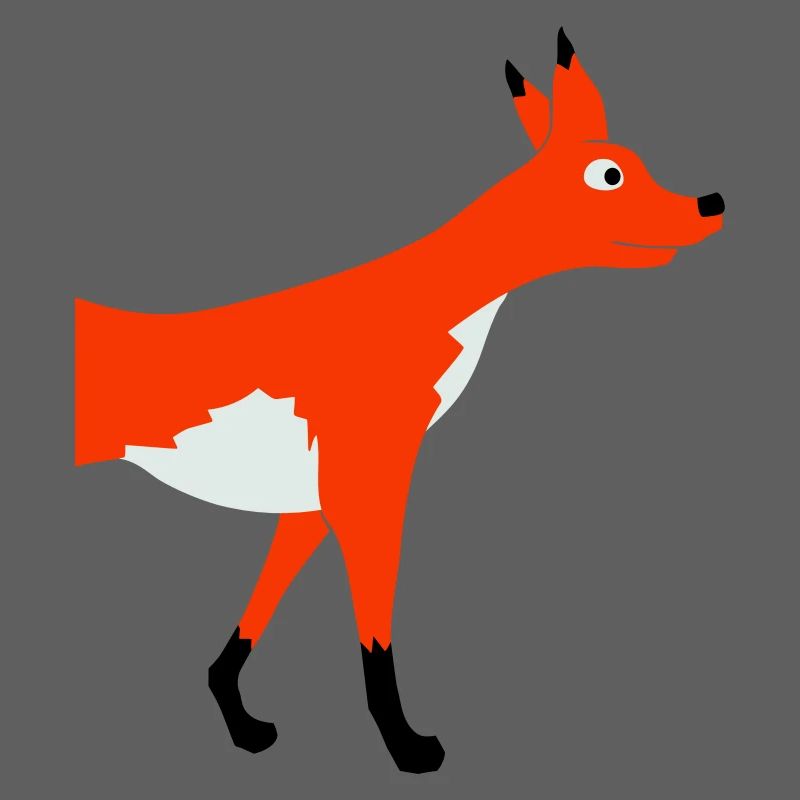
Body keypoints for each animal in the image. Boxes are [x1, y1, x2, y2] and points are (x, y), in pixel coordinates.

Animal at [74, 29, 725, 773]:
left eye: (641, 165)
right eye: (609, 175)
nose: (710, 202)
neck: (416, 307)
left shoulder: (312, 503)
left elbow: (251, 622)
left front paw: (238, 718)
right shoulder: (369, 490)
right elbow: (375, 637)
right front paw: (405, 746)